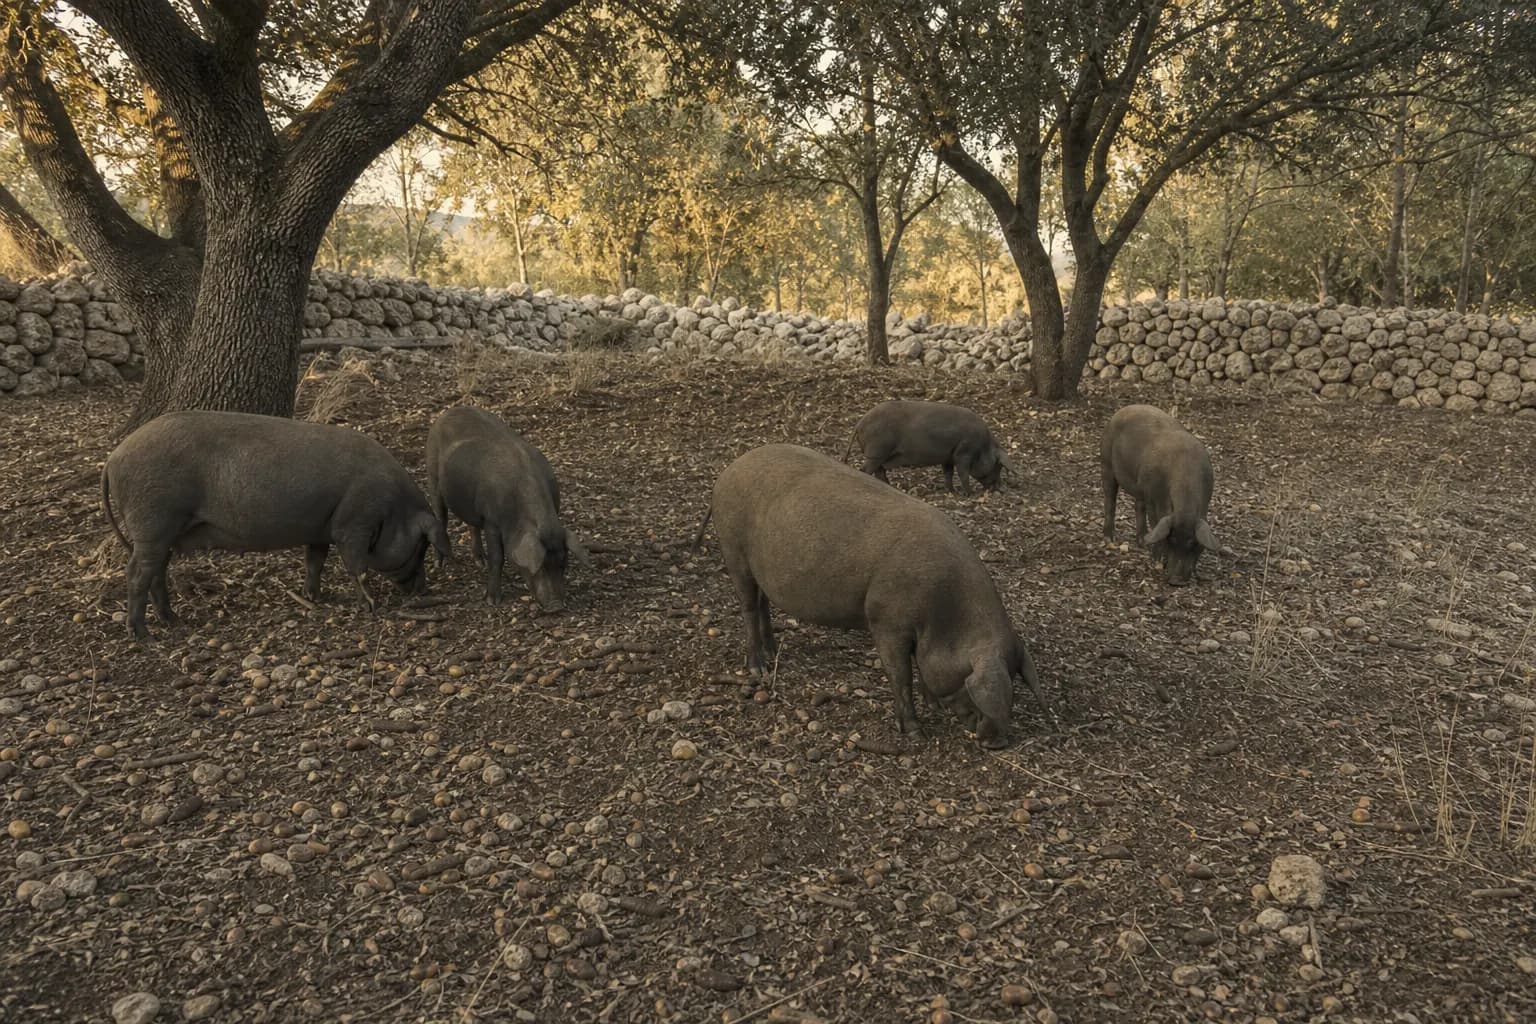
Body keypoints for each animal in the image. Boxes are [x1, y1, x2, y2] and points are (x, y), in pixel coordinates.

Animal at [102, 411, 450, 639]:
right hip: (153, 522)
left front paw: (315, 598)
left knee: (157, 573)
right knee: (137, 573)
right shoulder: (353, 525)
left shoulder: (321, 528)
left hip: (163, 533)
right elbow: (357, 566)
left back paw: (172, 621)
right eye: (421, 546)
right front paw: (371, 606)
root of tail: (113, 457)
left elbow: (314, 561)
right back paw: (143, 635)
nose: (422, 588)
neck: (392, 507)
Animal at [425, 405, 577, 611]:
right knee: (440, 517)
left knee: (472, 525)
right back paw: (440, 564)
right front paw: (492, 601)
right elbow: (497, 558)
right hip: (433, 476)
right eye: (540, 568)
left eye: (562, 564)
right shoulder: (492, 522)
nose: (556, 606)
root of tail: (447, 412)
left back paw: (479, 562)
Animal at [696, 443, 1044, 747]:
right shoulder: (886, 621)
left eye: (1014, 684)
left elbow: (920, 665)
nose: (998, 743)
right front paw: (916, 734)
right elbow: (899, 673)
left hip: (761, 569)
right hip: (735, 551)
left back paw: (772, 652)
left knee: (762, 603)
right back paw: (758, 668)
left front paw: (934, 706)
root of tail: (727, 472)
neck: (944, 611)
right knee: (747, 608)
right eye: (975, 687)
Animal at [843, 399, 1014, 494]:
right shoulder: (963, 452)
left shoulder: (948, 457)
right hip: (876, 452)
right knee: (866, 470)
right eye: (998, 465)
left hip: (881, 454)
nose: (999, 489)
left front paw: (951, 491)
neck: (982, 446)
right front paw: (970, 494)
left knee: (880, 471)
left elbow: (948, 473)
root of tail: (860, 423)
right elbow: (963, 473)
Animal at [1100, 404, 1220, 585]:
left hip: (1140, 486)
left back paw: (1142, 542)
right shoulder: (1154, 497)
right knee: (1110, 500)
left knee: (1138, 505)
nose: (1177, 581)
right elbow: (1156, 521)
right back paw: (1110, 540)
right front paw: (1156, 561)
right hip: (1106, 463)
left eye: (1193, 543)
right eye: (1171, 540)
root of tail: (1121, 411)